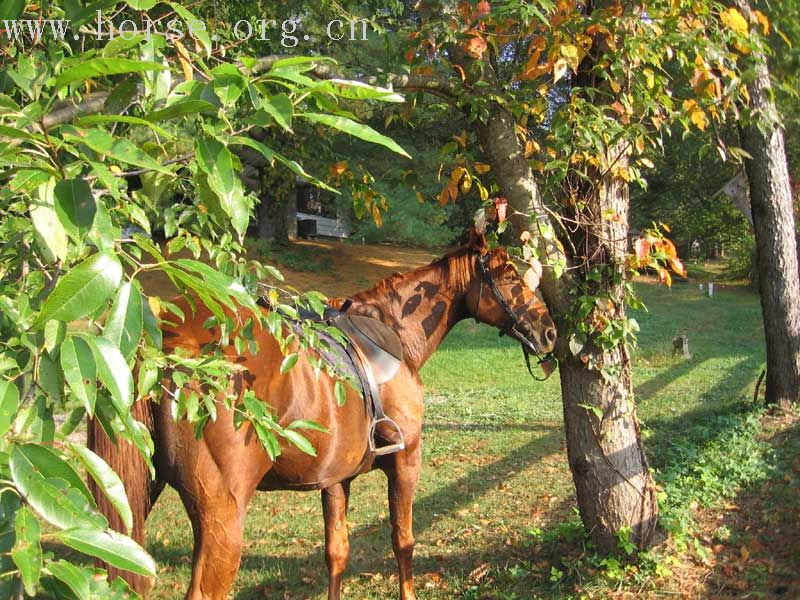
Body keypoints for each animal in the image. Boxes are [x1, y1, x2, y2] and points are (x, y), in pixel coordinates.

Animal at [89, 232, 556, 596]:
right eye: (510, 276)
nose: (549, 331)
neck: (394, 334)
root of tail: (162, 344)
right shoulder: (406, 461)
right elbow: (403, 542)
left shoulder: (336, 480)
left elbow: (337, 553)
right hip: (220, 518)